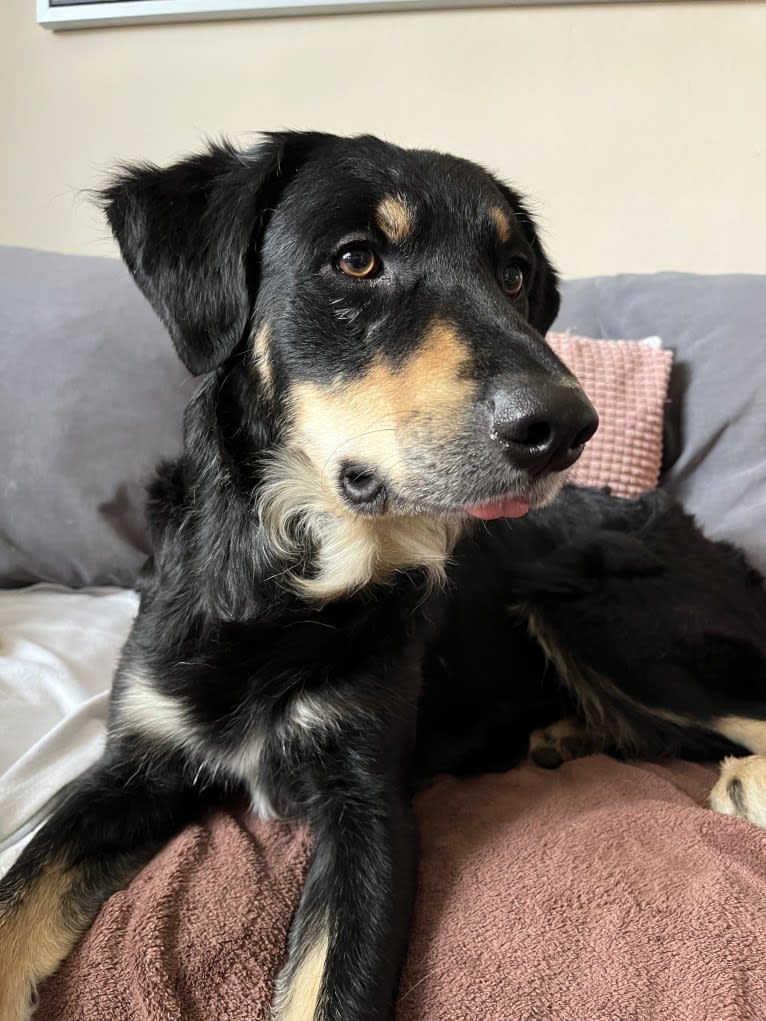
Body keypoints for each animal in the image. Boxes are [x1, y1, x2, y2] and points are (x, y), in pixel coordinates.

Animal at [1, 129, 766, 1021]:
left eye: (513, 275)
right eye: (357, 259)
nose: (568, 426)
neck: (285, 584)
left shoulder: (369, 805)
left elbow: (333, 989)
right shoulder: (133, 763)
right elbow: (18, 896)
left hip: (603, 610)